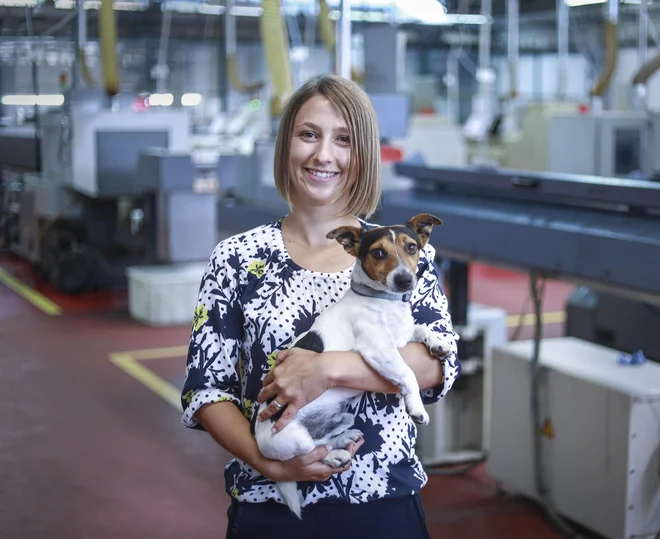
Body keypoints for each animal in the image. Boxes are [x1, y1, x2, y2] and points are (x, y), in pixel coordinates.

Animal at [253, 214, 454, 520]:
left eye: (411, 247)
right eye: (378, 252)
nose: (405, 280)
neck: (381, 301)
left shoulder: (403, 337)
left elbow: (421, 328)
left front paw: (439, 343)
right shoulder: (379, 351)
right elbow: (408, 374)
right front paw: (416, 407)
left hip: (343, 416)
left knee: (324, 439)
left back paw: (343, 438)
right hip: (291, 437)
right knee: (307, 455)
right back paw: (334, 455)